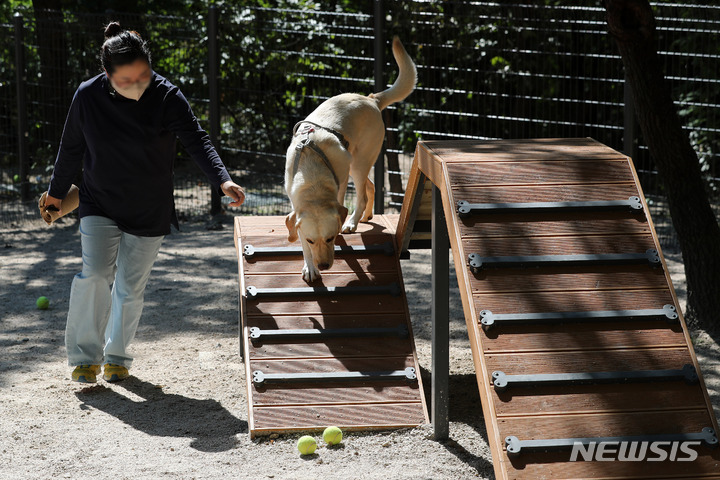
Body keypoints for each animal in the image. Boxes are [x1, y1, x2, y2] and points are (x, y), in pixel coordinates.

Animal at [282, 38, 414, 284]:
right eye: (312, 240)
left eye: (330, 238)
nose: (323, 266)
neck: (312, 174)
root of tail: (372, 99)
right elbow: (300, 239)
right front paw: (309, 268)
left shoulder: (340, 181)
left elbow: (342, 202)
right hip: (357, 165)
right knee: (371, 186)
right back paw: (367, 215)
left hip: (357, 164)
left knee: (361, 195)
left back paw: (353, 221)